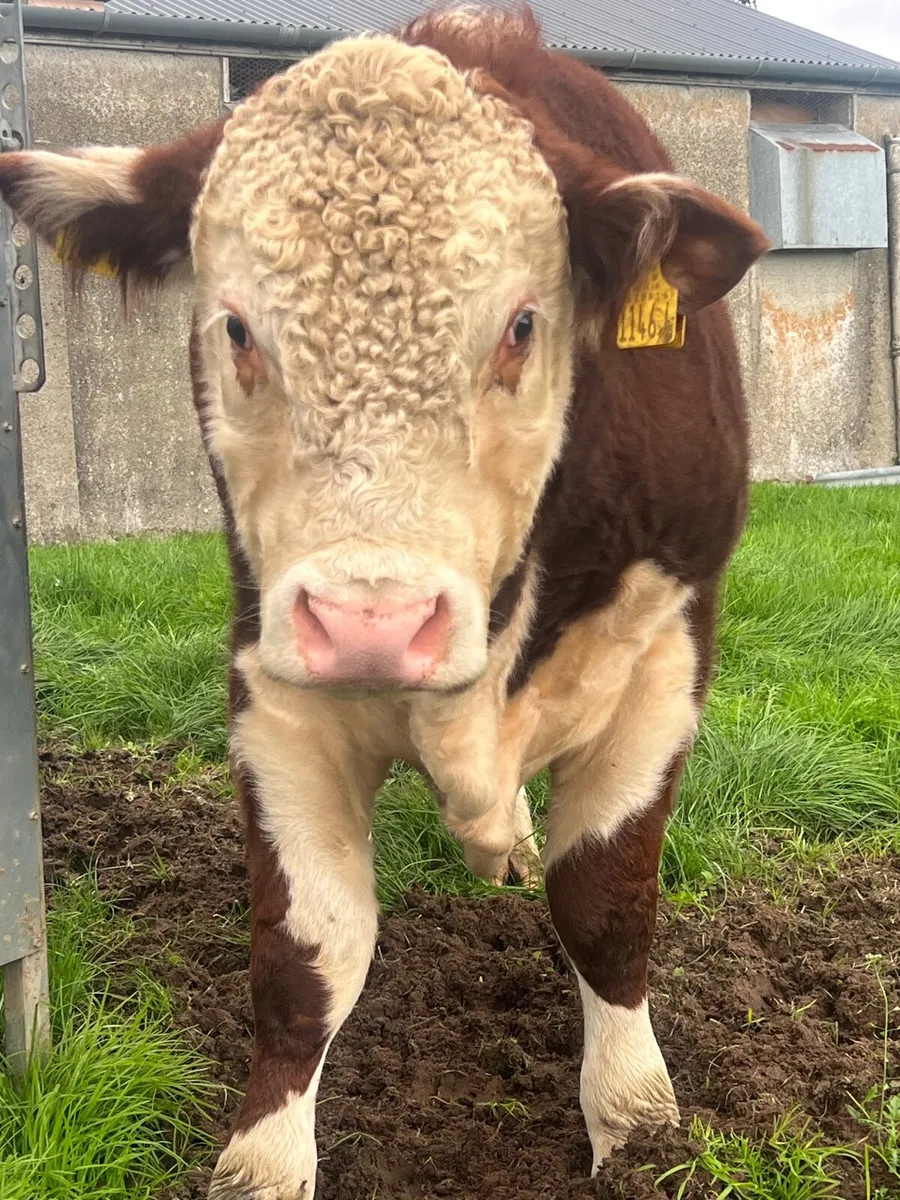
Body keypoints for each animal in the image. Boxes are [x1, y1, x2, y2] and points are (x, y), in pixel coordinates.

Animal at [0, 9, 768, 1196]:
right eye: (236, 329)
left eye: (522, 325)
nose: (375, 623)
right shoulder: (272, 677)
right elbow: (308, 949)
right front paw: (263, 1162)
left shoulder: (665, 648)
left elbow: (603, 900)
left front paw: (639, 1126)